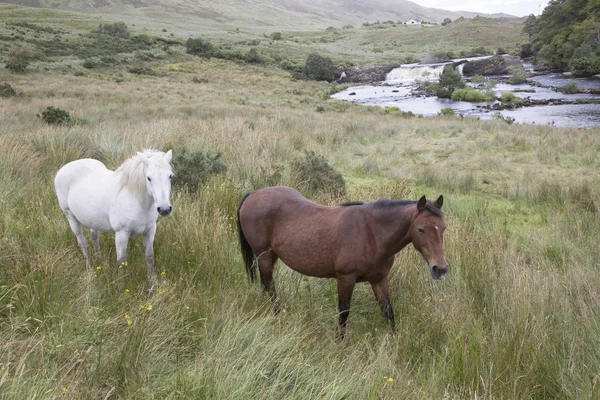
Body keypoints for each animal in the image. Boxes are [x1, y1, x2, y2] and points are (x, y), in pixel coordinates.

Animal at [54, 148, 173, 282]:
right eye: (148, 178)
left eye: (170, 176)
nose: (164, 209)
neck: (137, 201)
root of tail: (66, 167)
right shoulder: (121, 233)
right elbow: (121, 261)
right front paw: (121, 284)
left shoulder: (150, 231)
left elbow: (149, 257)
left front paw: (153, 282)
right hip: (71, 217)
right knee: (82, 242)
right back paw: (89, 268)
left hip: (93, 221)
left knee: (94, 237)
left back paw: (99, 259)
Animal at [237, 186, 448, 336]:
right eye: (421, 229)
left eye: (443, 228)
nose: (440, 269)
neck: (373, 232)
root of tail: (253, 193)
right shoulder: (346, 278)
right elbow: (344, 312)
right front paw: (339, 342)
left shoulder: (379, 280)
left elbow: (388, 311)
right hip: (263, 255)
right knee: (269, 286)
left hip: (271, 256)